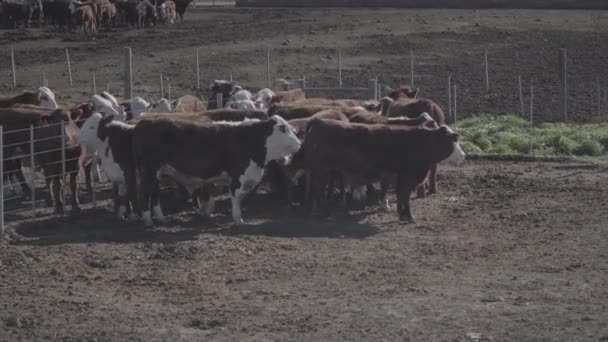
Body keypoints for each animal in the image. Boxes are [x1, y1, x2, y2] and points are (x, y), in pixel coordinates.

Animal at [134, 115, 302, 227]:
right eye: (283, 128)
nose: (299, 143)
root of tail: (145, 121)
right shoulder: (238, 175)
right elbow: (236, 196)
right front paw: (238, 219)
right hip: (150, 171)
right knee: (145, 193)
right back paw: (148, 221)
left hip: (157, 173)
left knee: (154, 194)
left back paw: (161, 219)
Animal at [304, 119, 466, 223]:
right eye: (453, 140)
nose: (463, 155)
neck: (423, 142)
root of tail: (319, 122)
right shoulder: (407, 177)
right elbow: (404, 196)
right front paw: (409, 216)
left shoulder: (401, 178)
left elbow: (401, 196)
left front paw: (402, 214)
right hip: (321, 170)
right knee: (317, 190)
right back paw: (318, 211)